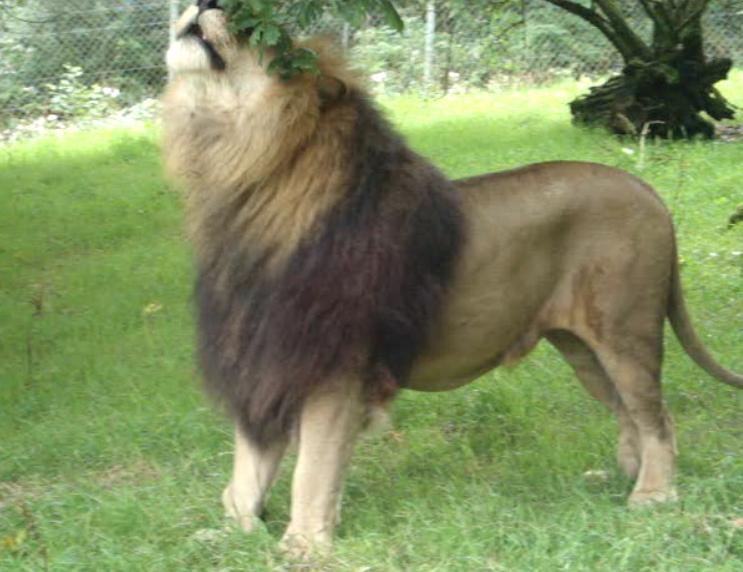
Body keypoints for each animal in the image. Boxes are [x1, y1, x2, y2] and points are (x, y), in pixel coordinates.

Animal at [163, 1, 743, 557]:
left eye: (267, 37)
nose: (210, 1)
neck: (237, 175)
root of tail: (648, 191)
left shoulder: (334, 367)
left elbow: (312, 470)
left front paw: (303, 545)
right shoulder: (259, 359)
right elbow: (247, 468)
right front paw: (231, 532)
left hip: (626, 331)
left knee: (656, 418)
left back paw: (653, 496)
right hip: (582, 347)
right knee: (627, 413)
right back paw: (619, 478)